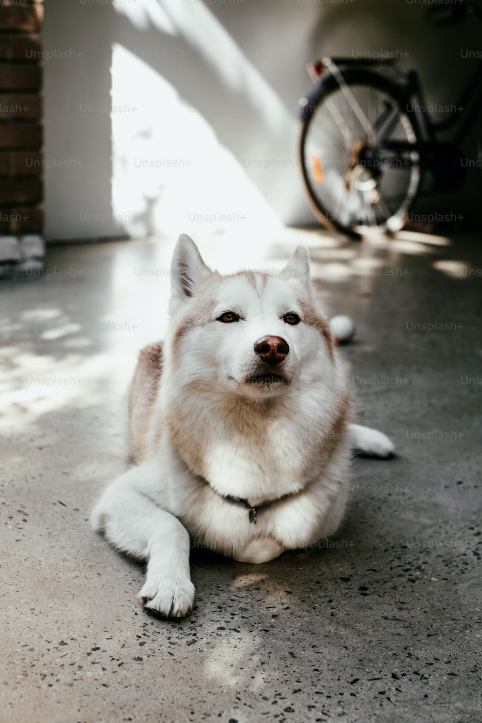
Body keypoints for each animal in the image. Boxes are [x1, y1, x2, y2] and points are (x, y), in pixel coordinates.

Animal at [92, 236, 394, 616]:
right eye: (229, 317)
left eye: (291, 319)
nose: (273, 346)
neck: (258, 432)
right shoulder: (119, 496)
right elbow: (173, 526)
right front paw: (171, 584)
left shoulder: (319, 517)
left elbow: (266, 542)